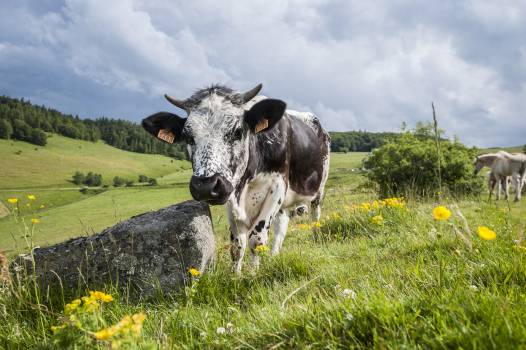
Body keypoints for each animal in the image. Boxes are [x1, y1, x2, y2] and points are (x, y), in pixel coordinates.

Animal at [140, 84, 330, 274]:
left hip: (319, 187)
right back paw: (274, 256)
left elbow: (256, 239)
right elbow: (237, 245)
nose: (205, 186)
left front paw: (252, 274)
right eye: (188, 136)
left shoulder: (277, 187)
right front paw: (236, 275)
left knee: (315, 216)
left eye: (238, 132)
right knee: (281, 226)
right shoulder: (230, 195)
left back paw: (315, 238)